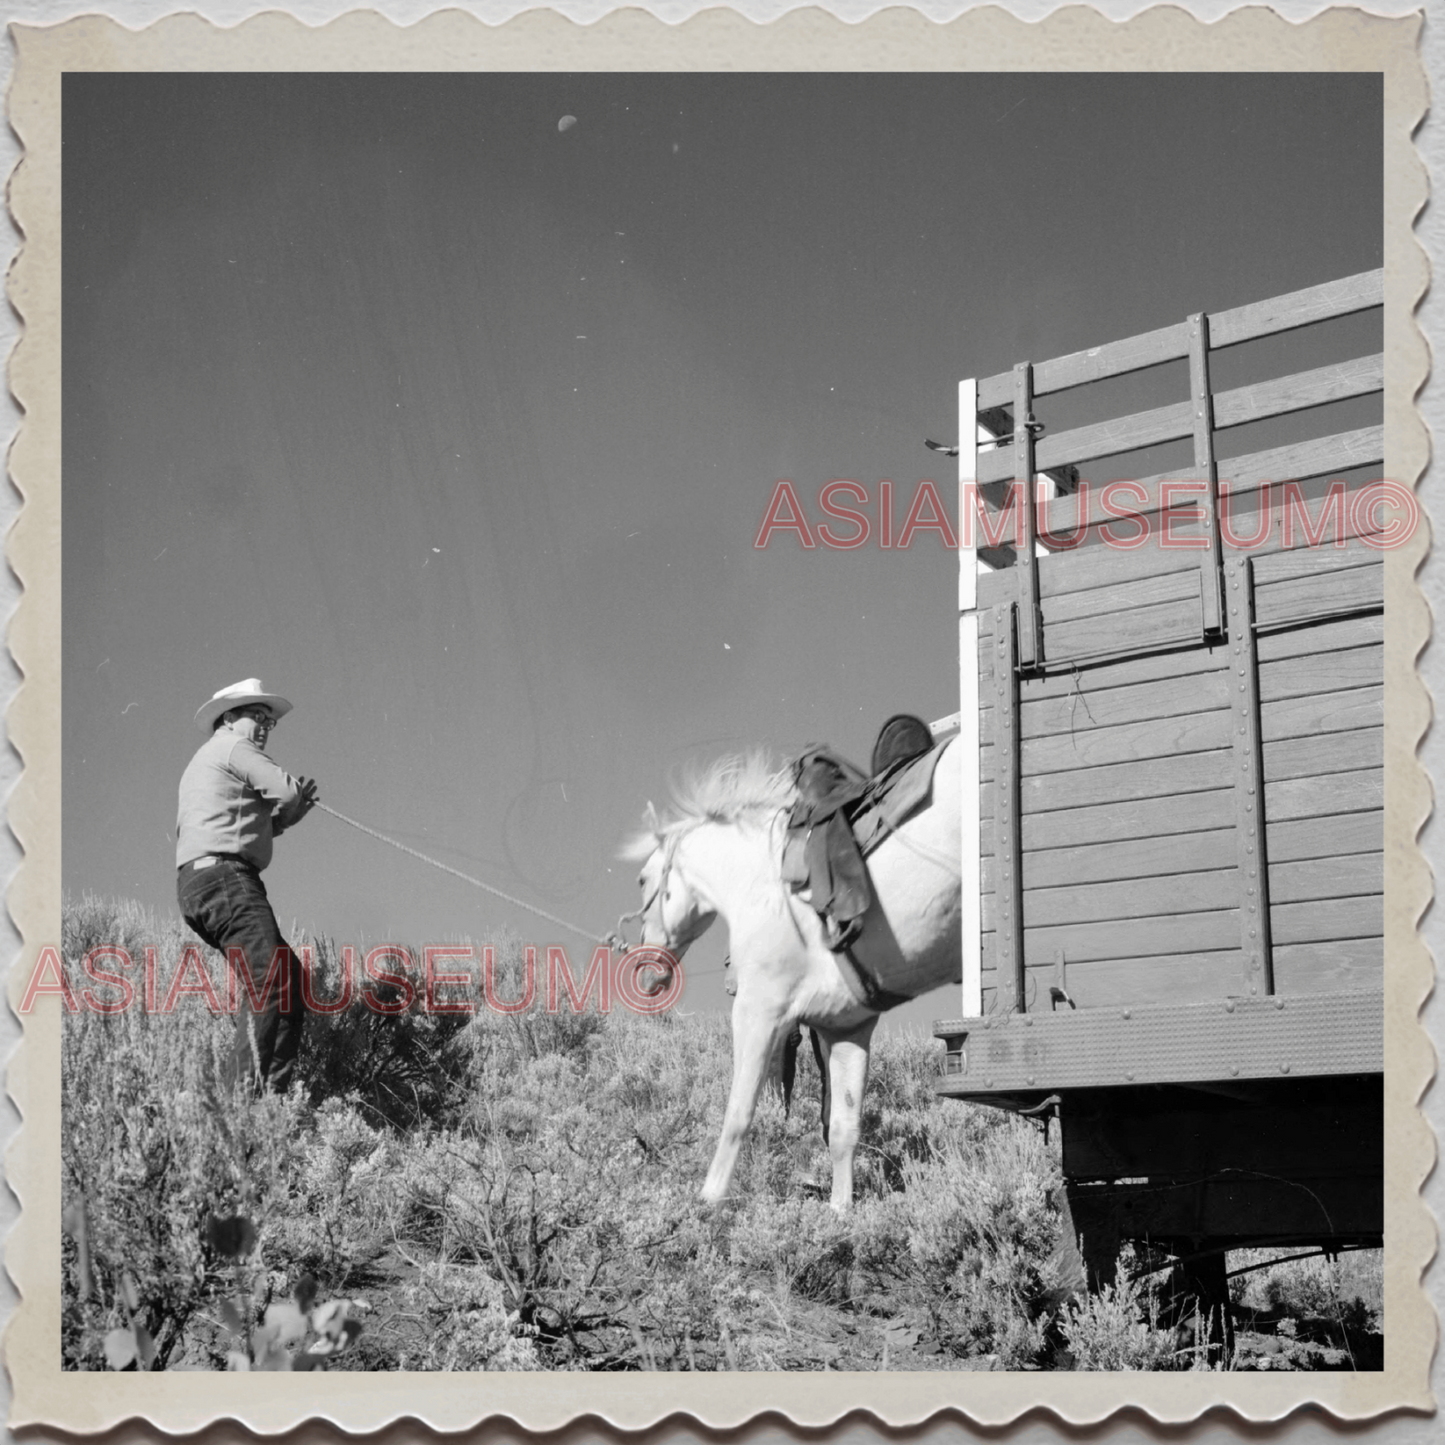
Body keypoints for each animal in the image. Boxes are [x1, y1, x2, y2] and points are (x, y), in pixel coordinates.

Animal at [621, 745, 959, 1208]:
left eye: (642, 879)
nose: (645, 970)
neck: (764, 880)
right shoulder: (846, 1029)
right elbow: (843, 1130)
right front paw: (840, 1211)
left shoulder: (759, 1012)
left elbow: (738, 1115)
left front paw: (709, 1202)